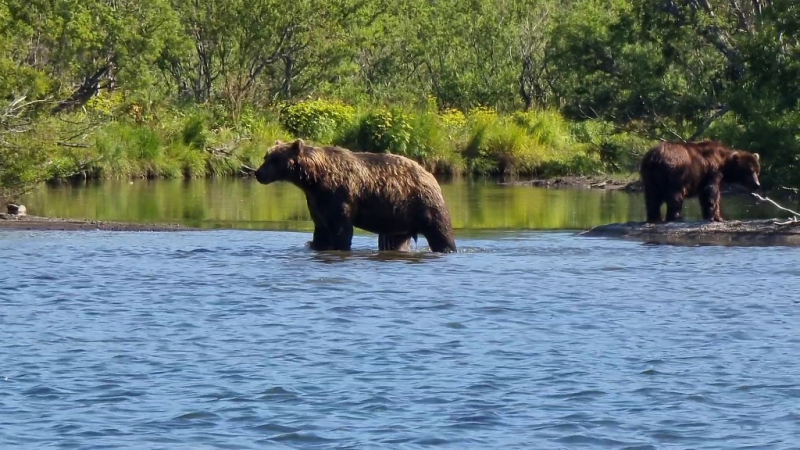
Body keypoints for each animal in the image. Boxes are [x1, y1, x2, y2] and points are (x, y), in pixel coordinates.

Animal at [253, 140, 460, 253]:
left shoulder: (340, 194)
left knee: (441, 232)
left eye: (275, 159)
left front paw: (339, 245)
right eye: (266, 156)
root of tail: (429, 174)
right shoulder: (316, 200)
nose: (258, 173)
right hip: (397, 218)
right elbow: (321, 229)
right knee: (393, 241)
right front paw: (316, 244)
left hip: (422, 204)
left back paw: (447, 247)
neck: (314, 179)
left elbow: (341, 228)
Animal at [636, 141, 764, 223]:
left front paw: (717, 217)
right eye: (750, 171)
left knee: (652, 196)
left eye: (757, 171)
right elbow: (710, 192)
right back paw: (677, 217)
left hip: (649, 175)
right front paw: (713, 216)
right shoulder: (712, 171)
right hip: (675, 172)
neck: (723, 162)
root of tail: (654, 158)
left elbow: (711, 194)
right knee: (675, 194)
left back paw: (654, 218)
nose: (757, 185)